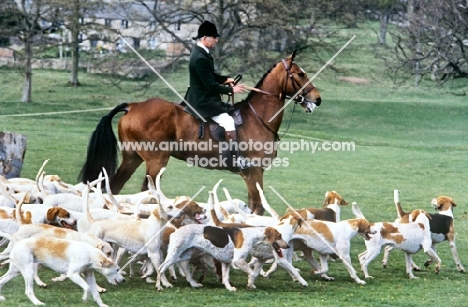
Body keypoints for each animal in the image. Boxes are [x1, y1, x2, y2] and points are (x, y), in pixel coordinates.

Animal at [80, 51, 322, 214]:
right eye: (300, 74)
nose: (317, 99)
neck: (258, 118)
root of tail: (132, 106)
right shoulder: (253, 172)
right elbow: (257, 208)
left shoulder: (253, 174)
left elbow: (254, 207)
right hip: (156, 160)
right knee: (146, 192)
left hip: (132, 158)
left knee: (115, 188)